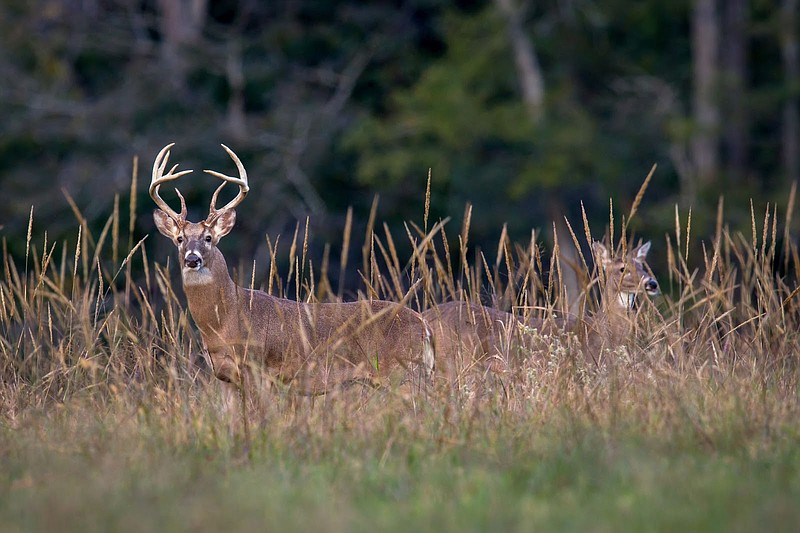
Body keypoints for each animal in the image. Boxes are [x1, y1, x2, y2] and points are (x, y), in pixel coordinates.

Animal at [150, 143, 435, 396]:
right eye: (179, 239)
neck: (224, 320)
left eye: (209, 238)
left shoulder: (256, 369)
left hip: (404, 372)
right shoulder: (223, 377)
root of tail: (423, 325)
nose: (192, 259)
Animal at [423, 240, 659, 384]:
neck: (604, 331)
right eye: (623, 269)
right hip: (454, 362)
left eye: (642, 265)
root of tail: (426, 315)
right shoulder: (588, 367)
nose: (652, 283)